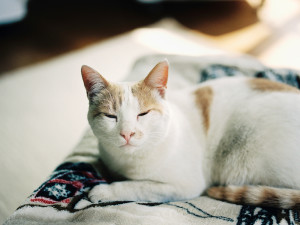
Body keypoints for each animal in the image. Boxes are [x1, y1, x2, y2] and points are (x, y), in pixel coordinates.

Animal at [81, 59, 300, 209]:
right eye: (111, 116)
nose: (127, 133)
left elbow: (138, 187)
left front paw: (104, 191)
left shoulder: (184, 185)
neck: (127, 163)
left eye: (143, 114)